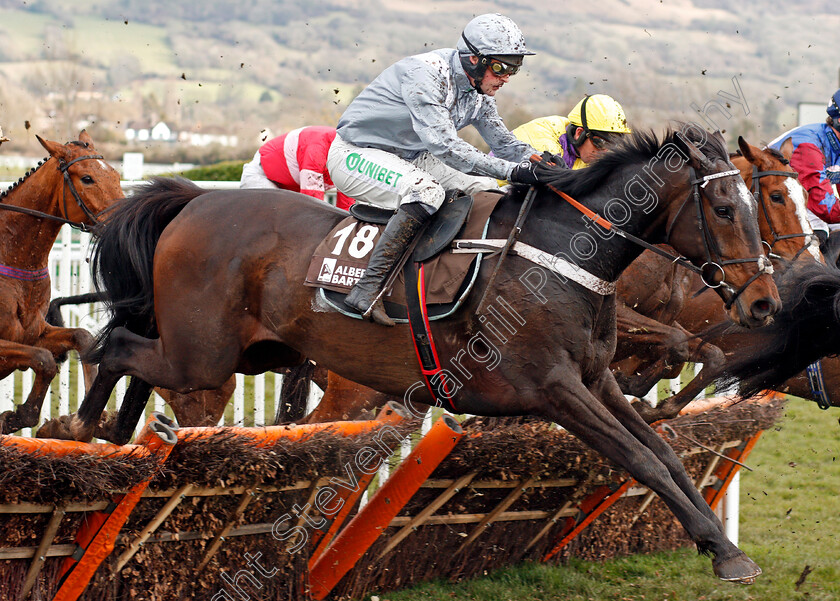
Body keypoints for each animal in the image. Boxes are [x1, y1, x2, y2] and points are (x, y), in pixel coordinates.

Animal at [0, 130, 123, 432]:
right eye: (87, 178)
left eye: (115, 174)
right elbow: (43, 359)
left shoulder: (34, 333)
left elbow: (81, 338)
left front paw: (84, 420)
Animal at [49, 125, 776, 580]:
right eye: (723, 206)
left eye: (751, 202)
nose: (766, 302)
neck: (561, 256)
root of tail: (195, 200)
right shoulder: (552, 388)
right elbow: (639, 459)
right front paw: (726, 555)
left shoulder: (596, 381)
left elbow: (663, 453)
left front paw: (719, 542)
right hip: (205, 357)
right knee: (119, 346)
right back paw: (88, 427)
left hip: (249, 351)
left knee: (129, 349)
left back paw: (112, 434)